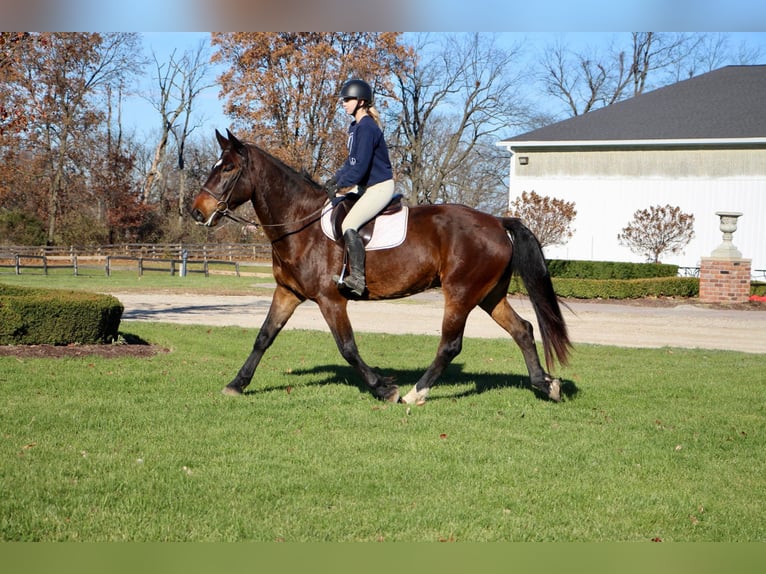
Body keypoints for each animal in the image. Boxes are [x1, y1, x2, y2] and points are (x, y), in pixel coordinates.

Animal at [190, 130, 568, 404]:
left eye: (227, 168)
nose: (196, 211)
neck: (300, 223)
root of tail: (497, 222)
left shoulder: (330, 300)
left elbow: (347, 347)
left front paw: (384, 388)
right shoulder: (288, 293)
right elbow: (264, 337)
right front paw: (237, 383)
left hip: (461, 295)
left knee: (451, 345)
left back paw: (416, 393)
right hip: (489, 295)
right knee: (523, 330)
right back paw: (545, 384)